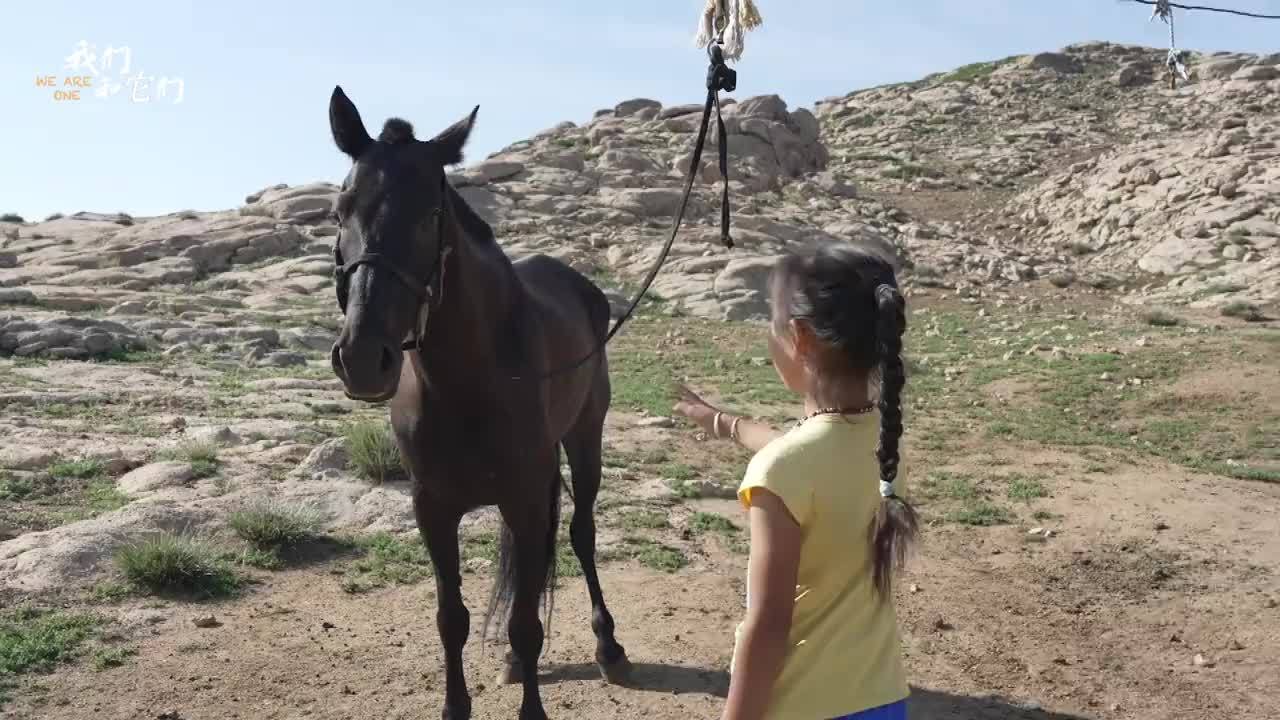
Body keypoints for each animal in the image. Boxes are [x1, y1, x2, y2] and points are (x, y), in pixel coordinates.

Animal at [327, 85, 632, 717]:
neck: (467, 381)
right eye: (339, 211)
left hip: (585, 437)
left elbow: (526, 623)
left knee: (581, 535)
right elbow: (452, 618)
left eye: (429, 215)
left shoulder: (523, 497)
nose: (364, 357)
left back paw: (609, 645)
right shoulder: (433, 508)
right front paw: (455, 704)